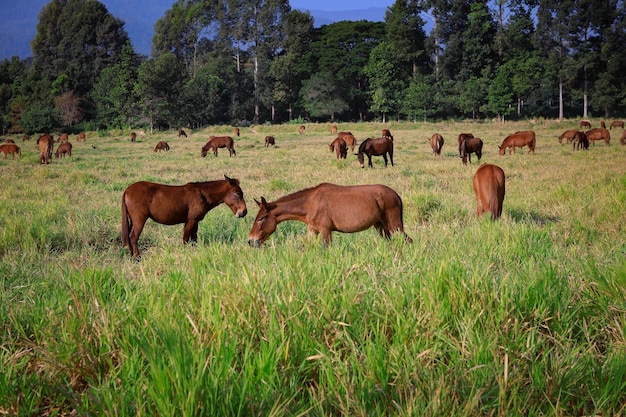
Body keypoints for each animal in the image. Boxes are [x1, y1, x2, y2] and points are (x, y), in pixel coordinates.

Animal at [246, 183, 412, 247]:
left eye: (261, 218)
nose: (251, 241)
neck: (310, 203)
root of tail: (395, 194)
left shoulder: (325, 231)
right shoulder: (312, 231)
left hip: (394, 226)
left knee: (408, 241)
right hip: (381, 227)